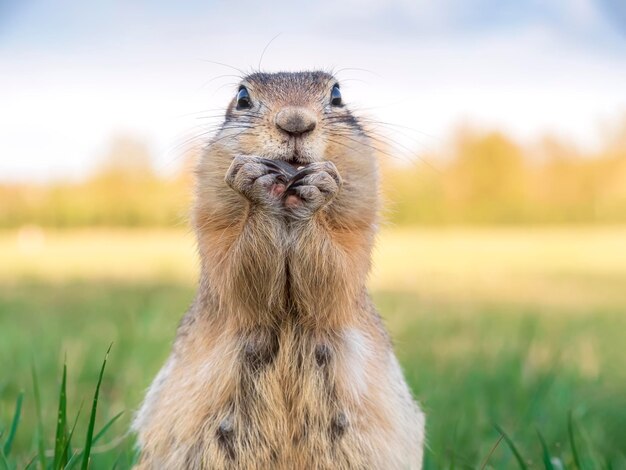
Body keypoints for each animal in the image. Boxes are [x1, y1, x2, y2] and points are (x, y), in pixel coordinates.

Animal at [132, 70, 424, 470]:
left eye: (337, 94)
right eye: (242, 97)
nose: (295, 122)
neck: (286, 210)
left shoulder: (359, 213)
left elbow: (339, 274)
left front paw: (317, 189)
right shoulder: (212, 214)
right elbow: (234, 274)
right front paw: (257, 184)